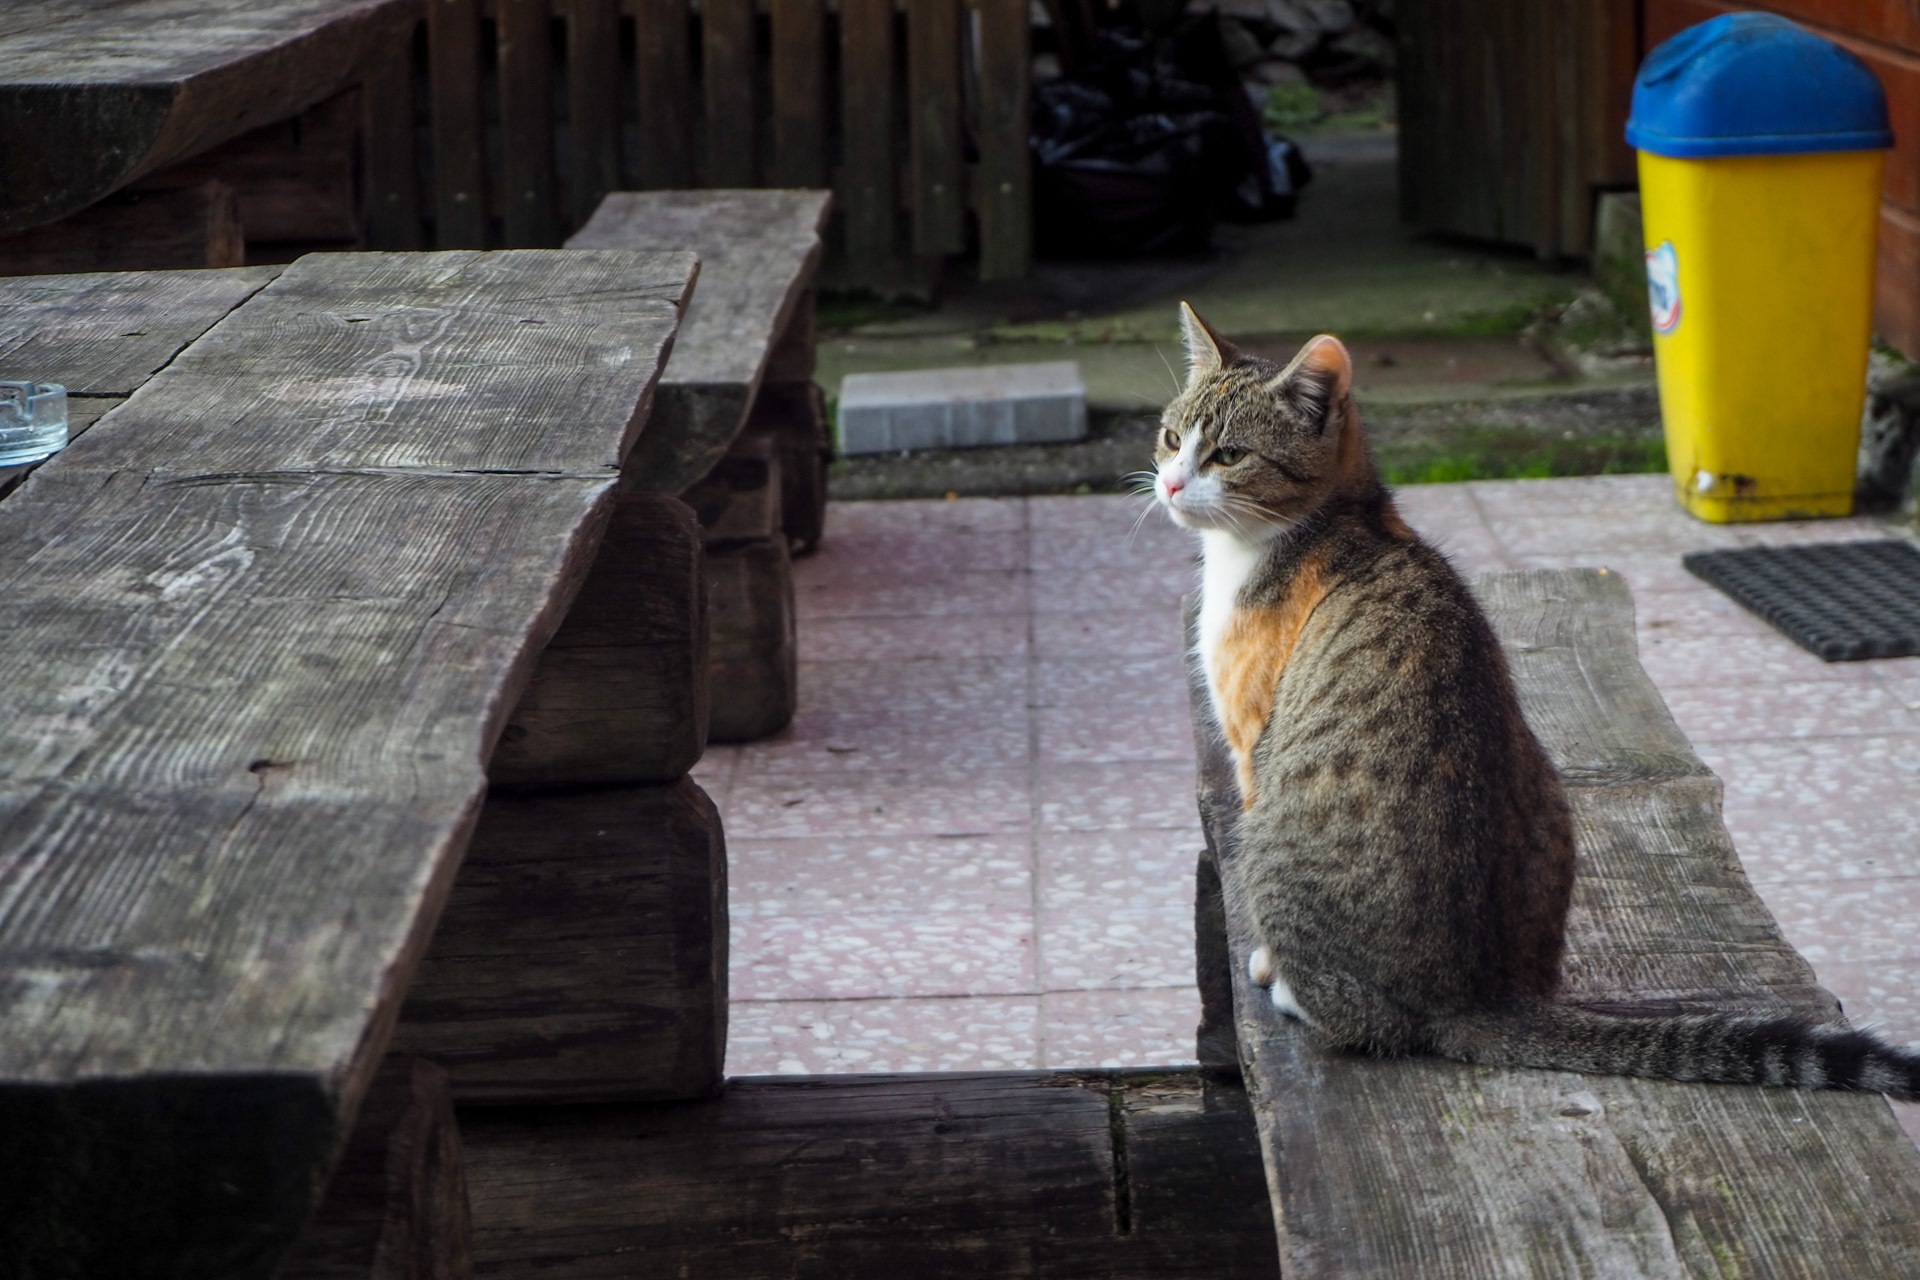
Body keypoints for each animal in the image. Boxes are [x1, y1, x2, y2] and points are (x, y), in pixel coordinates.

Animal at [1152, 305, 1920, 1097]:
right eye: (1173, 438)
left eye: (1229, 455)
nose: (1170, 485)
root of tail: (1474, 995)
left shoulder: (1252, 744)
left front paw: (1265, 962)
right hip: (1545, 782)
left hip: (1276, 836)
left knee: (1362, 1020)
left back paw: (1292, 991)